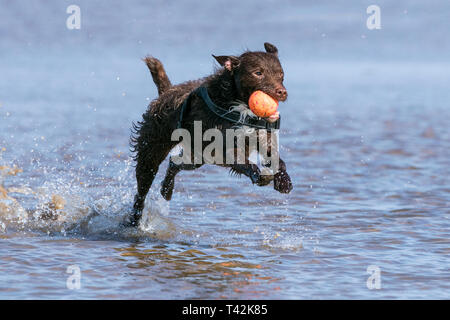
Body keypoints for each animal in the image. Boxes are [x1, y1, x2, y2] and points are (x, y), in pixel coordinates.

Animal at [128, 42, 294, 226]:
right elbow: (242, 161)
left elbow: (277, 159)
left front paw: (283, 180)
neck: (238, 106)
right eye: (258, 73)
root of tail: (166, 92)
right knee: (141, 191)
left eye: (281, 74)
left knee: (174, 163)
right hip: (152, 151)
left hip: (198, 157)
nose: (282, 92)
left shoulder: (262, 137)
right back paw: (134, 220)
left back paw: (166, 189)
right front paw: (259, 175)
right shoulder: (224, 149)